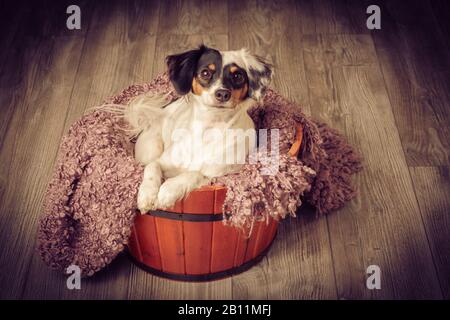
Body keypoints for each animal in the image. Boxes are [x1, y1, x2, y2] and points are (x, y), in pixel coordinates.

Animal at [126, 43, 272, 211]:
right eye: (205, 72)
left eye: (237, 76)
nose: (222, 94)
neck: (208, 130)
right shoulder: (161, 161)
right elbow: (151, 167)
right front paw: (147, 195)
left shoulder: (217, 174)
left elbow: (193, 174)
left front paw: (167, 191)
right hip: (150, 149)